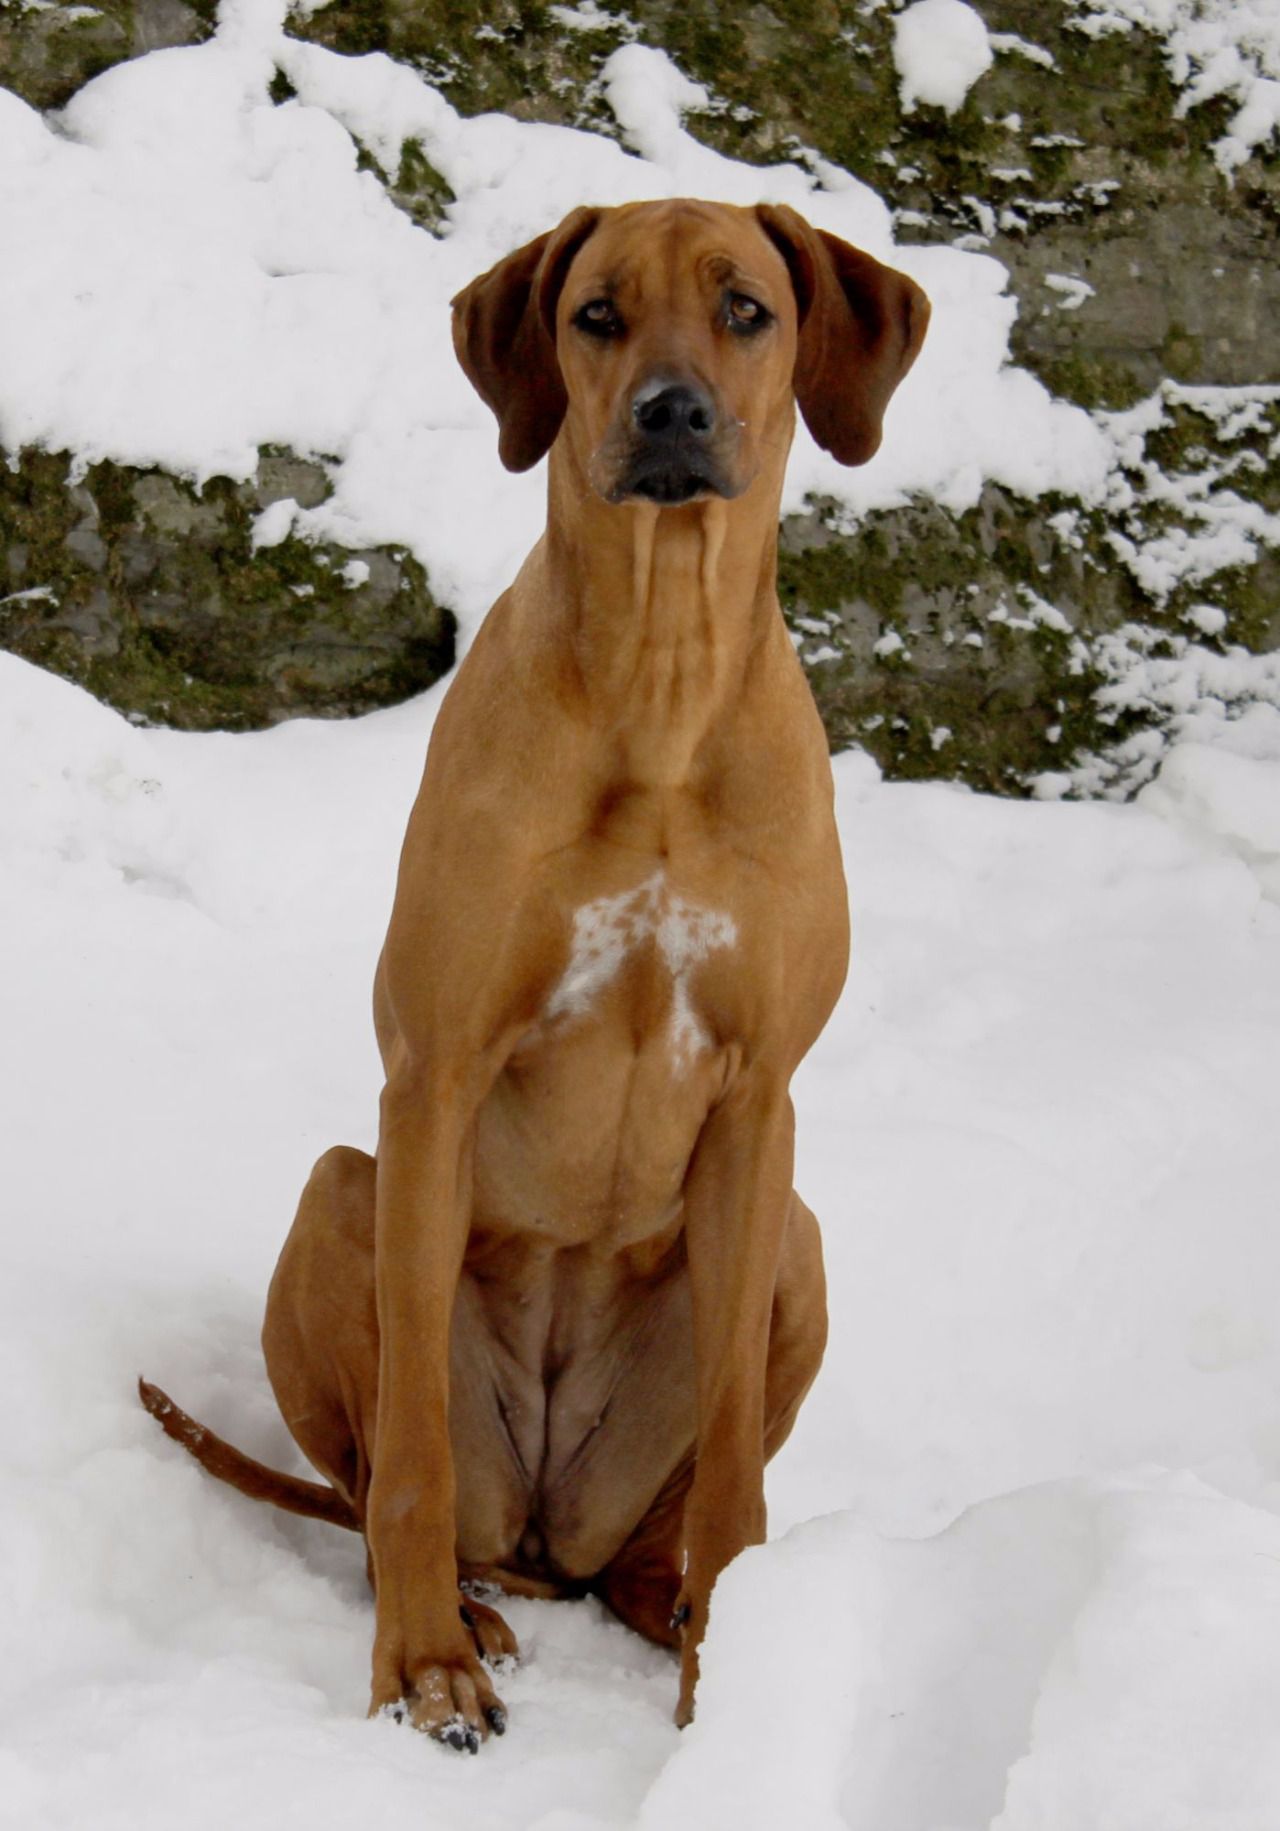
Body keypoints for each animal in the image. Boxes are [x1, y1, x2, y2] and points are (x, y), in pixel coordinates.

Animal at [142, 196, 930, 1743]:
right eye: (597, 314)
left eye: (745, 309)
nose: (670, 412)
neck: (660, 685)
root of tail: (552, 1531)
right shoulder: (433, 1076)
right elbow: (408, 1459)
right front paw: (421, 1663)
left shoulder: (761, 1101)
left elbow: (737, 1477)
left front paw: (728, 1696)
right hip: (344, 1195)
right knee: (383, 1488)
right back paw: (468, 1610)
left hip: (790, 1248)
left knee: (657, 1531)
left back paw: (664, 1600)